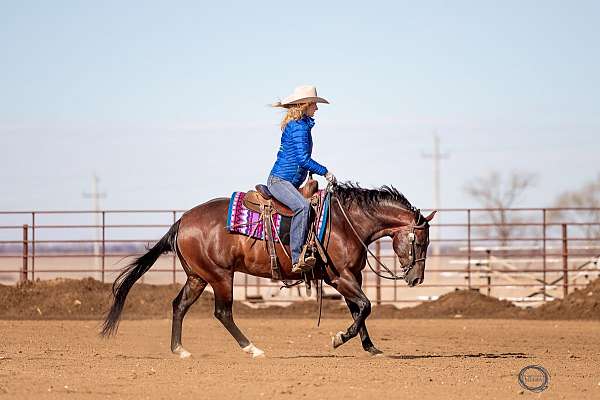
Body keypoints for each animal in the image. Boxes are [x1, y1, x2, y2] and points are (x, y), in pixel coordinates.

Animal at [101, 183, 434, 358]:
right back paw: (252, 348)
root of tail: (181, 221)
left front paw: (370, 347)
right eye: (419, 241)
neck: (344, 222)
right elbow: (364, 306)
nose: (416, 278)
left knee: (179, 305)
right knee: (222, 312)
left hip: (197, 276)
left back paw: (180, 349)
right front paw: (339, 338)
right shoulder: (340, 277)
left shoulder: (352, 276)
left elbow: (359, 309)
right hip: (221, 276)